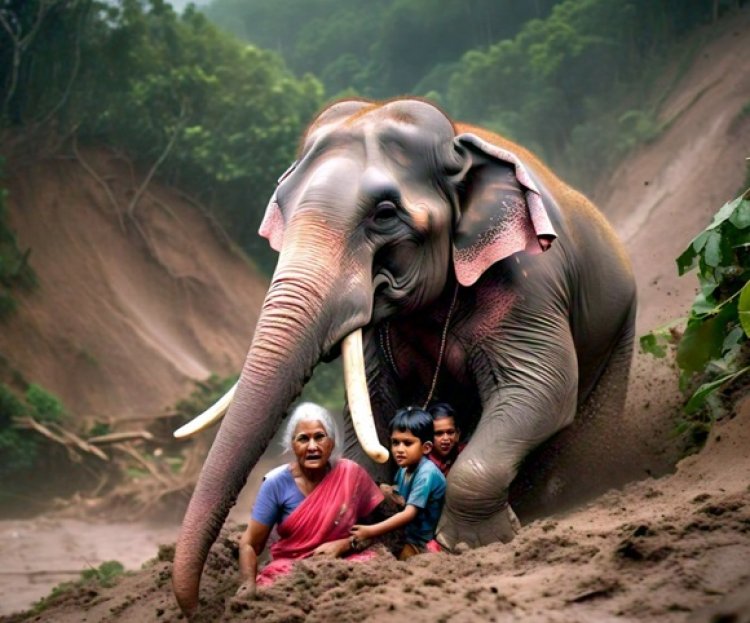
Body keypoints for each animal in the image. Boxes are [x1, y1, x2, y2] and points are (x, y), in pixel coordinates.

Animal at [173, 97, 636, 616]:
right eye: (282, 208)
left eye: (385, 213)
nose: (195, 608)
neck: (458, 144)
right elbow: (375, 406)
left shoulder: (530, 277)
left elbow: (544, 385)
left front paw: (472, 544)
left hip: (620, 329)